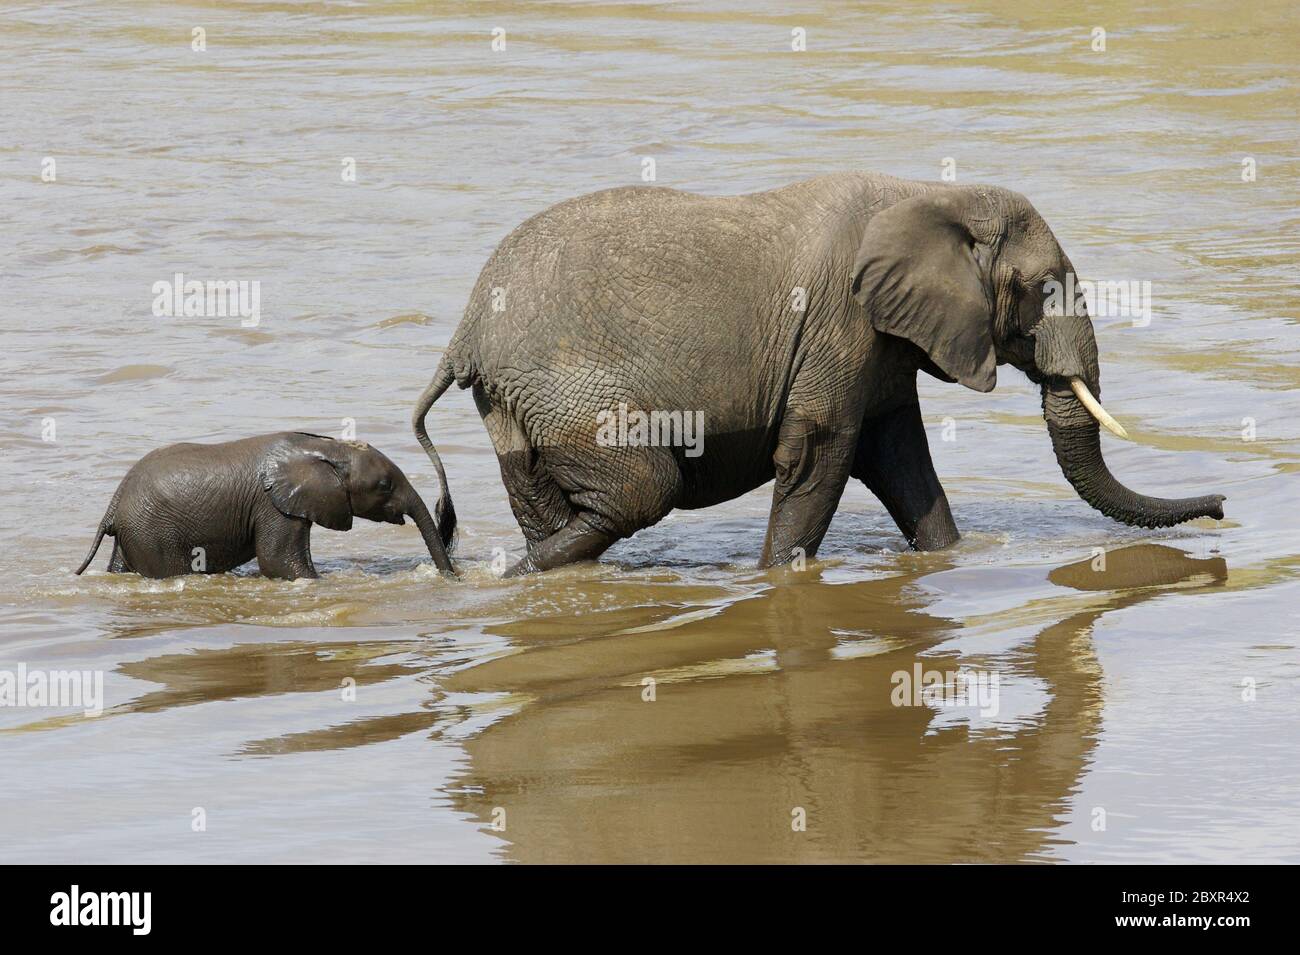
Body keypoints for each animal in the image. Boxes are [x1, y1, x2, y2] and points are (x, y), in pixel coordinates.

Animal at [75, 432, 454, 580]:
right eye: (384, 485)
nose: (454, 577)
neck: (326, 449)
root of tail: (113, 506)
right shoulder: (273, 506)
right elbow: (279, 562)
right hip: (155, 535)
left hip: (135, 535)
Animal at [413, 172, 1224, 576]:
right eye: (1040, 287)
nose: (1221, 505)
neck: (932, 192)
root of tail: (465, 333)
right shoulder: (842, 319)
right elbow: (819, 451)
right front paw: (779, 577)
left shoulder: (883, 339)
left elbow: (898, 456)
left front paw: (950, 558)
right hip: (565, 387)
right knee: (647, 487)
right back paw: (512, 574)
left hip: (516, 404)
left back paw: (524, 571)